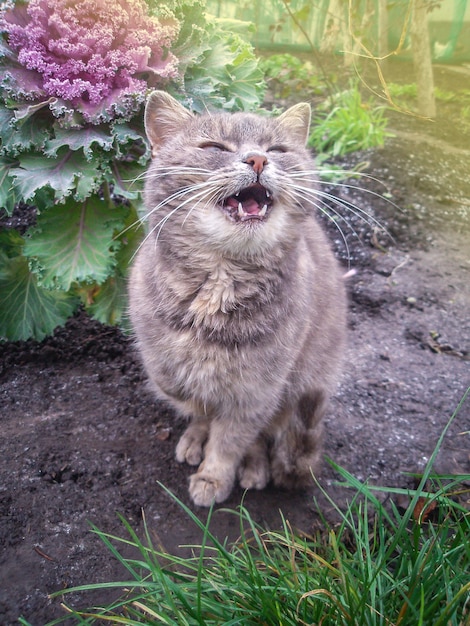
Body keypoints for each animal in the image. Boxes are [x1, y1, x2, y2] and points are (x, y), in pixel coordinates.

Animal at [127, 90, 346, 504]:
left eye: (277, 150)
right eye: (214, 147)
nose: (258, 159)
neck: (219, 281)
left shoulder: (257, 391)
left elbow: (231, 439)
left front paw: (213, 478)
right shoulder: (163, 365)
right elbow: (192, 399)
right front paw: (198, 429)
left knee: (267, 433)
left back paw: (255, 466)